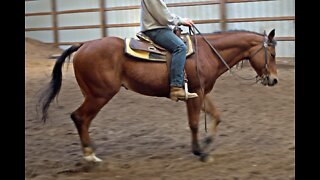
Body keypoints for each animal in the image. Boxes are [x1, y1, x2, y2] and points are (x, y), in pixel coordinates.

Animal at [38, 29, 278, 162]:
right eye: (273, 53)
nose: (274, 80)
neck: (207, 53)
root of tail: (84, 45)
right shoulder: (195, 93)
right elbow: (194, 123)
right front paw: (199, 151)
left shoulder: (201, 92)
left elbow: (216, 115)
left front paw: (207, 143)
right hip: (99, 95)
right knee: (80, 117)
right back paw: (90, 155)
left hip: (93, 94)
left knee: (82, 119)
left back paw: (90, 151)